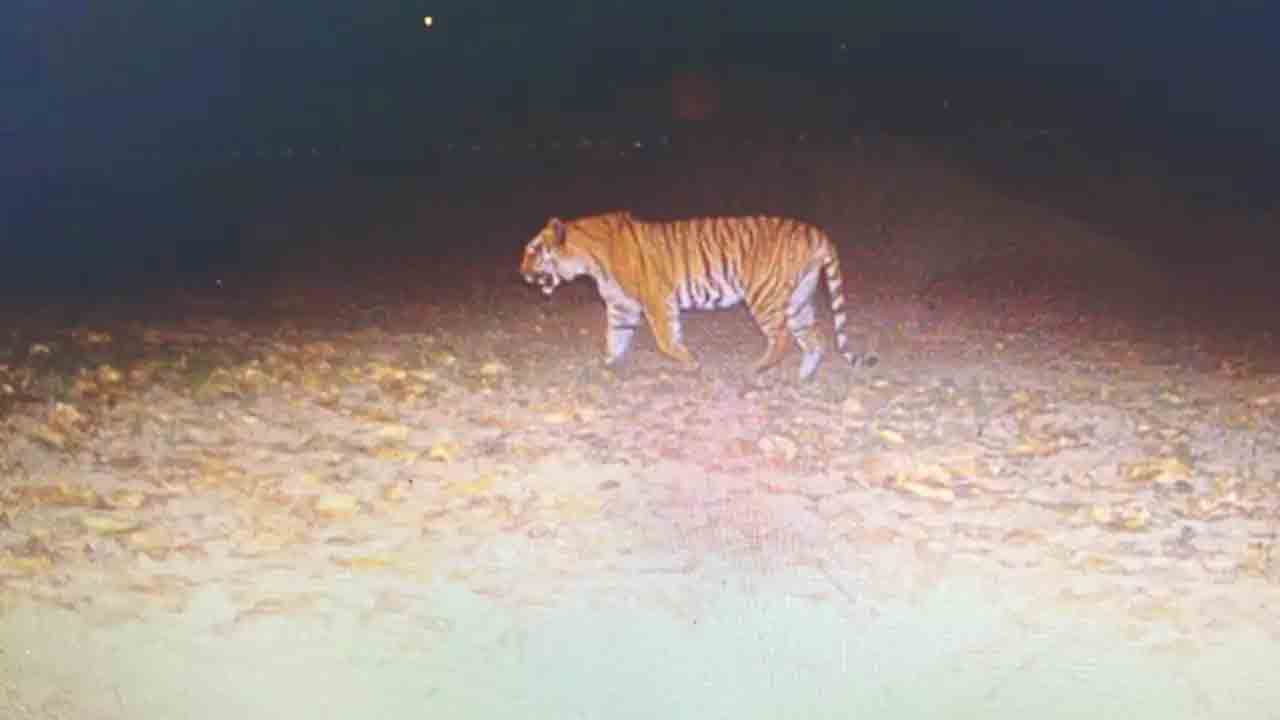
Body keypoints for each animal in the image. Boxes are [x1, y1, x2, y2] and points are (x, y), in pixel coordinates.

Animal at [519, 211, 875, 381]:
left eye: (534, 250)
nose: (520, 272)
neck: (589, 261)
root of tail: (816, 232)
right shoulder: (622, 307)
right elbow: (615, 338)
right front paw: (606, 364)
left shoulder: (656, 300)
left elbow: (666, 340)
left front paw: (691, 363)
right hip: (798, 299)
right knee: (815, 338)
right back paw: (804, 376)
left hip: (765, 295)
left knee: (783, 338)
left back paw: (757, 369)